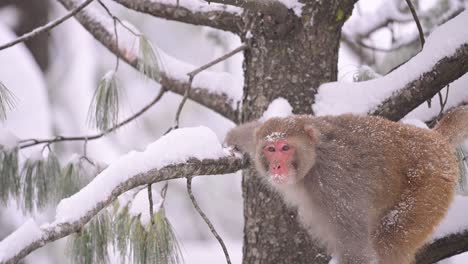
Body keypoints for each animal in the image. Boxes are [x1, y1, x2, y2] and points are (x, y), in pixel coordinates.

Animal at [226, 106, 468, 262]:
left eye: (285, 148)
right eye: (270, 148)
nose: (276, 166)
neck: (314, 159)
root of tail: (435, 139)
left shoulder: (334, 184)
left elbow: (355, 249)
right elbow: (250, 131)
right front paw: (231, 139)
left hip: (430, 186)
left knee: (391, 241)